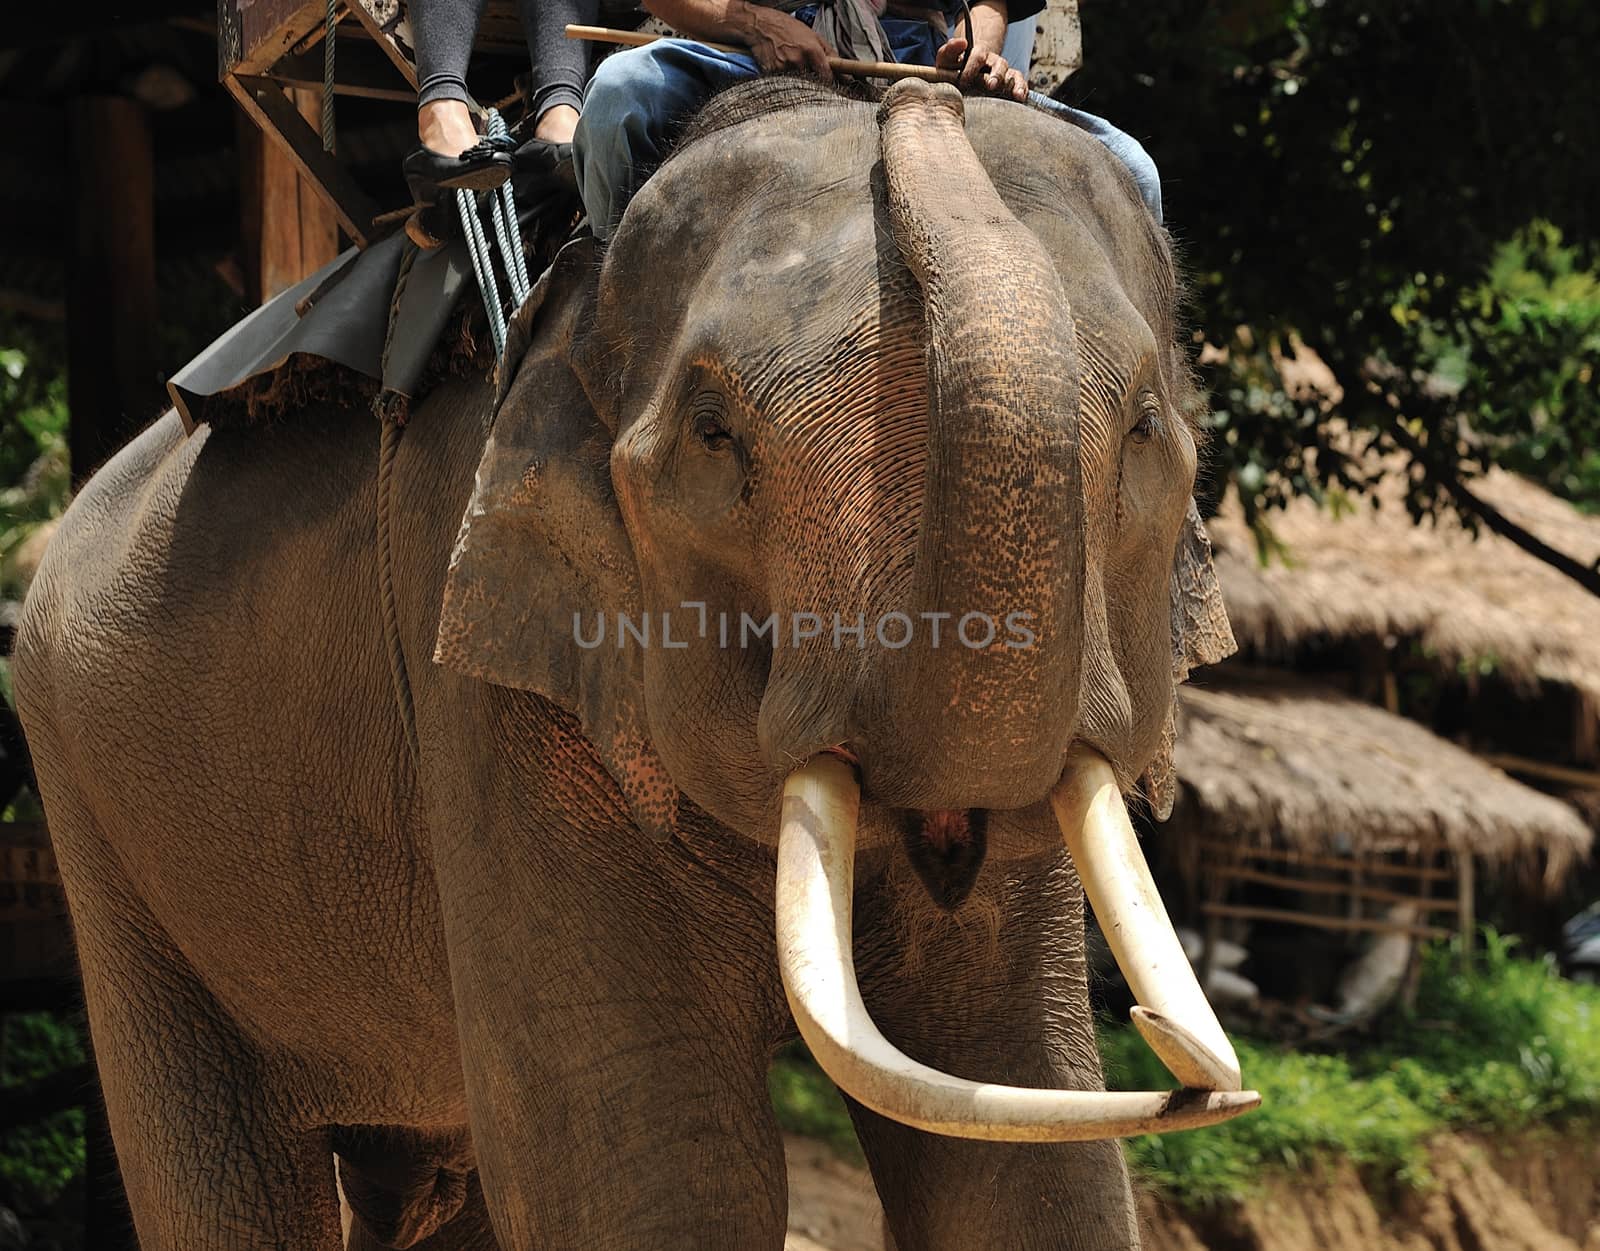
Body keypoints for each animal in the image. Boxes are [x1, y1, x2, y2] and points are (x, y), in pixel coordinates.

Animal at [18, 80, 1254, 1251]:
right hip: (101, 829)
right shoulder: (485, 671)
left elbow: (1021, 1133)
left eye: (1145, 432)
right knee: (227, 1180)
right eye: (714, 436)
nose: (918, 91)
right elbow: (651, 1168)